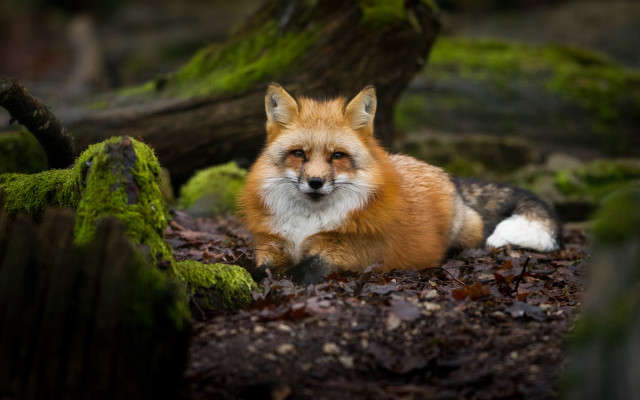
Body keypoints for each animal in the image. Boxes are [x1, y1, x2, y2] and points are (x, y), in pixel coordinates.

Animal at [239, 83, 562, 284]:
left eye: (337, 156)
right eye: (299, 154)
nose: (315, 182)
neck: (306, 225)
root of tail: (445, 174)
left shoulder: (352, 252)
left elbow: (305, 270)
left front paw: (285, 282)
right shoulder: (273, 245)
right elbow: (255, 269)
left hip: (463, 231)